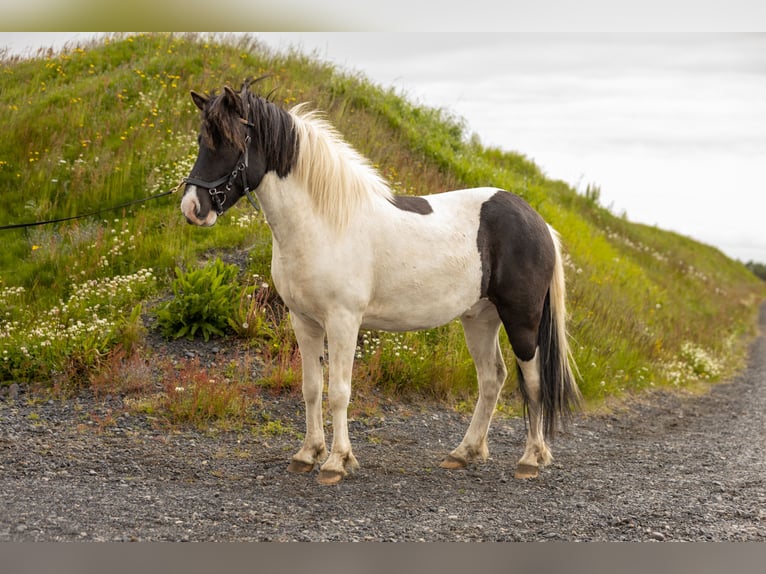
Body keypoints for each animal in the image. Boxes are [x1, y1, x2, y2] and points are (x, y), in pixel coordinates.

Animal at [182, 81, 584, 486]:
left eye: (230, 142)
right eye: (203, 140)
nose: (192, 208)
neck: (324, 222)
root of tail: (538, 222)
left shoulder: (343, 321)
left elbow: (339, 392)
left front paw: (336, 462)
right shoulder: (304, 320)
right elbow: (311, 388)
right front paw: (307, 454)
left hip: (522, 319)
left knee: (532, 381)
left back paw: (530, 459)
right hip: (480, 319)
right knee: (491, 379)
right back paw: (464, 453)